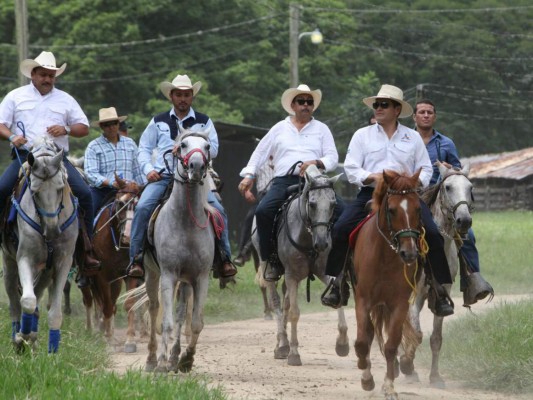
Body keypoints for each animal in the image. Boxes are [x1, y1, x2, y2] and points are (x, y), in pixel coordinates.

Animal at [1, 138, 78, 354]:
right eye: (34, 192)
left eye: (60, 188)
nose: (52, 231)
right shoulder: (25, 259)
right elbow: (27, 301)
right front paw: (22, 336)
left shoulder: (62, 264)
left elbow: (54, 311)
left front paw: (52, 352)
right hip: (9, 265)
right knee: (15, 301)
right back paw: (18, 338)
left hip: (45, 272)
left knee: (37, 295)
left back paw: (33, 339)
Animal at [80, 175, 144, 350]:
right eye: (120, 203)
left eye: (139, 204)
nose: (128, 236)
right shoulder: (102, 277)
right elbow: (107, 306)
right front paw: (108, 339)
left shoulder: (130, 274)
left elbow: (128, 303)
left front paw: (130, 340)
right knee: (91, 300)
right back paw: (93, 330)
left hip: (116, 281)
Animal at [139, 130, 216, 374]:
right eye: (182, 145)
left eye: (207, 146)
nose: (197, 166)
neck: (185, 221)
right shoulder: (168, 274)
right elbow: (167, 323)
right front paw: (162, 362)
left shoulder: (200, 278)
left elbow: (196, 323)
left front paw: (186, 359)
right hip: (152, 275)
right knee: (154, 309)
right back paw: (153, 359)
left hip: (186, 281)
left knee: (182, 314)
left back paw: (174, 357)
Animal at [255, 165, 350, 366]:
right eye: (312, 204)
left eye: (333, 204)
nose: (322, 243)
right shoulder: (292, 275)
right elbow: (294, 313)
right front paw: (294, 353)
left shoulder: (323, 272)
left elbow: (337, 299)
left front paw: (342, 343)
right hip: (269, 269)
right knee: (277, 302)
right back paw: (283, 343)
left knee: (285, 304)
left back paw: (281, 344)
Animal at [354, 170, 424, 400]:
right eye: (392, 210)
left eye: (418, 208)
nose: (409, 253)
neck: (385, 256)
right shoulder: (363, 299)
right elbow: (362, 341)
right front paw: (365, 374)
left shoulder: (399, 304)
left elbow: (392, 345)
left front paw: (389, 386)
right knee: (366, 335)